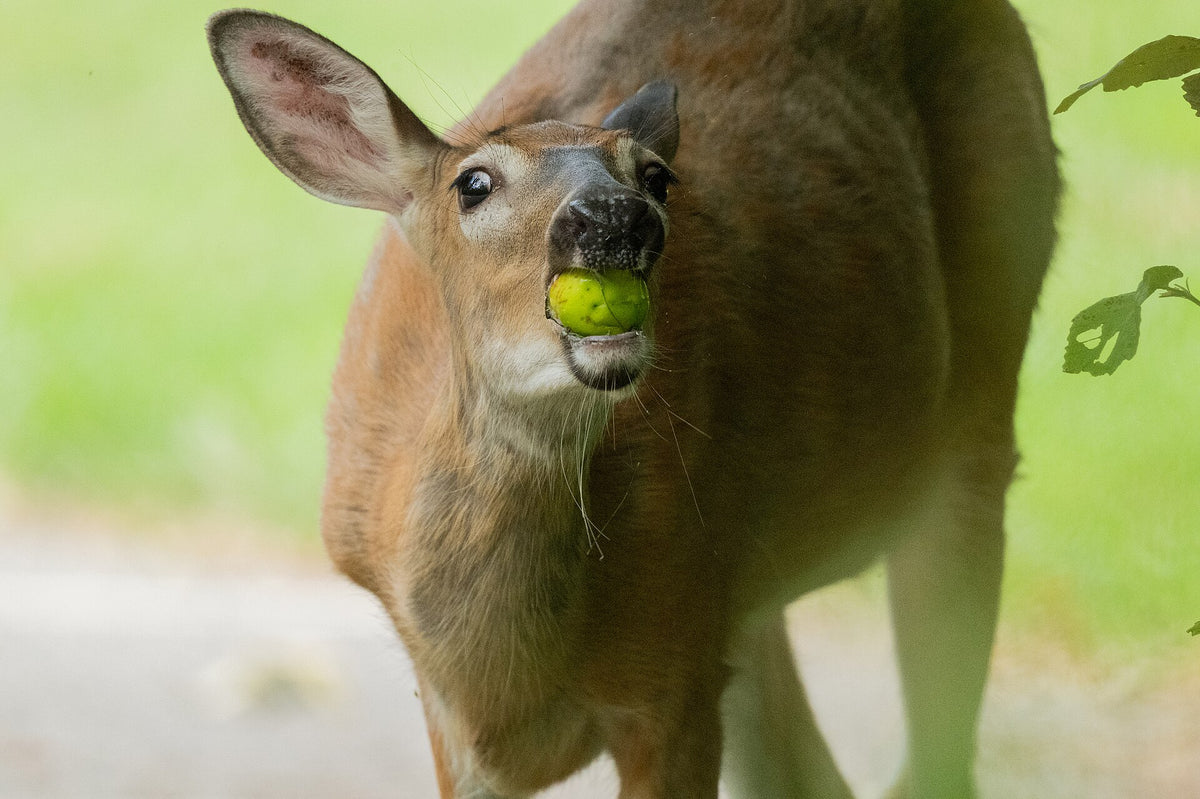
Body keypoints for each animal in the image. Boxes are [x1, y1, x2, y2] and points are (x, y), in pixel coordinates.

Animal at [207, 1, 1058, 796]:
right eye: (473, 183)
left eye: (655, 176)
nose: (615, 218)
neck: (499, 682)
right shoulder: (454, 710)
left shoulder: (675, 667)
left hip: (983, 390)